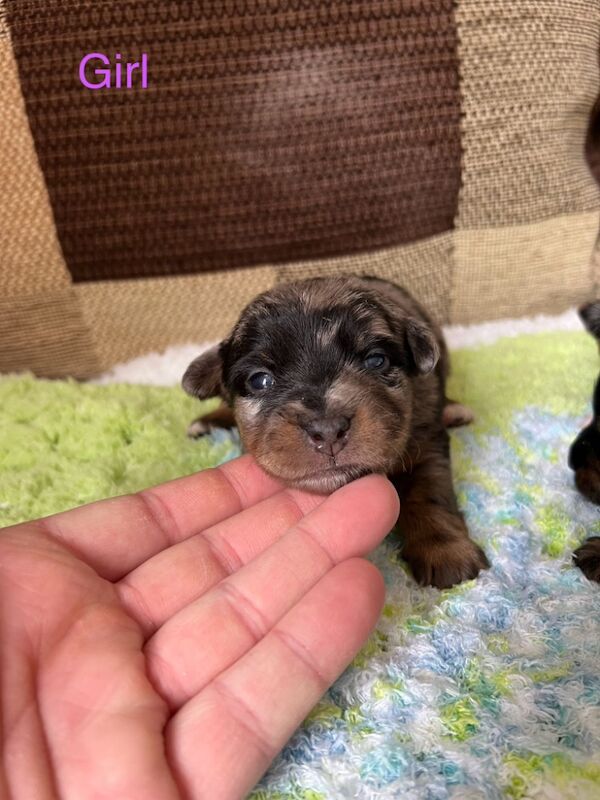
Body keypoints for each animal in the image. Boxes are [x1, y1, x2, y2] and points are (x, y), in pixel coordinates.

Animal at [183, 278, 488, 592]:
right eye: (260, 380)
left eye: (376, 360)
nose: (328, 430)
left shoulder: (425, 439)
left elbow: (428, 493)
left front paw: (445, 551)